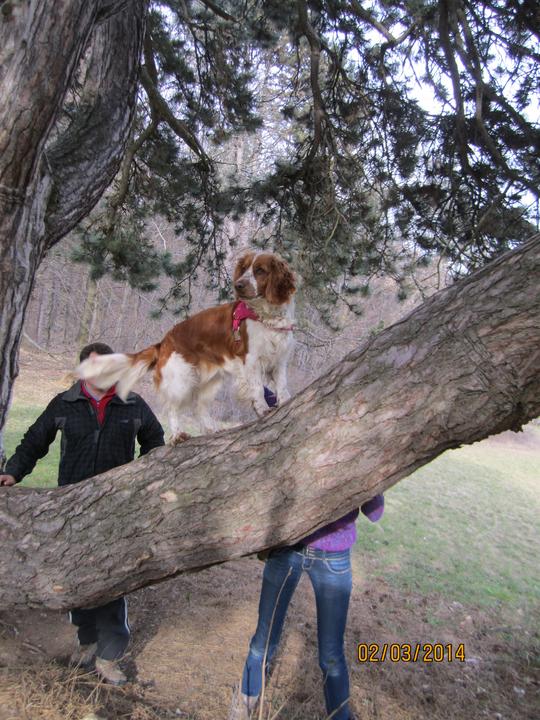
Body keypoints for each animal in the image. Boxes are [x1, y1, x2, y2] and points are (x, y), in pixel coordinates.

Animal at [77, 251, 296, 441]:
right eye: (244, 269)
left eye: (260, 271)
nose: (238, 285)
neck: (266, 316)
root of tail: (163, 342)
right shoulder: (250, 360)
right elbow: (258, 389)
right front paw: (263, 409)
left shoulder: (280, 359)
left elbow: (283, 385)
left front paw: (285, 401)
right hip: (180, 380)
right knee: (172, 408)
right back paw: (177, 435)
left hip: (209, 381)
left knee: (198, 407)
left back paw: (212, 429)